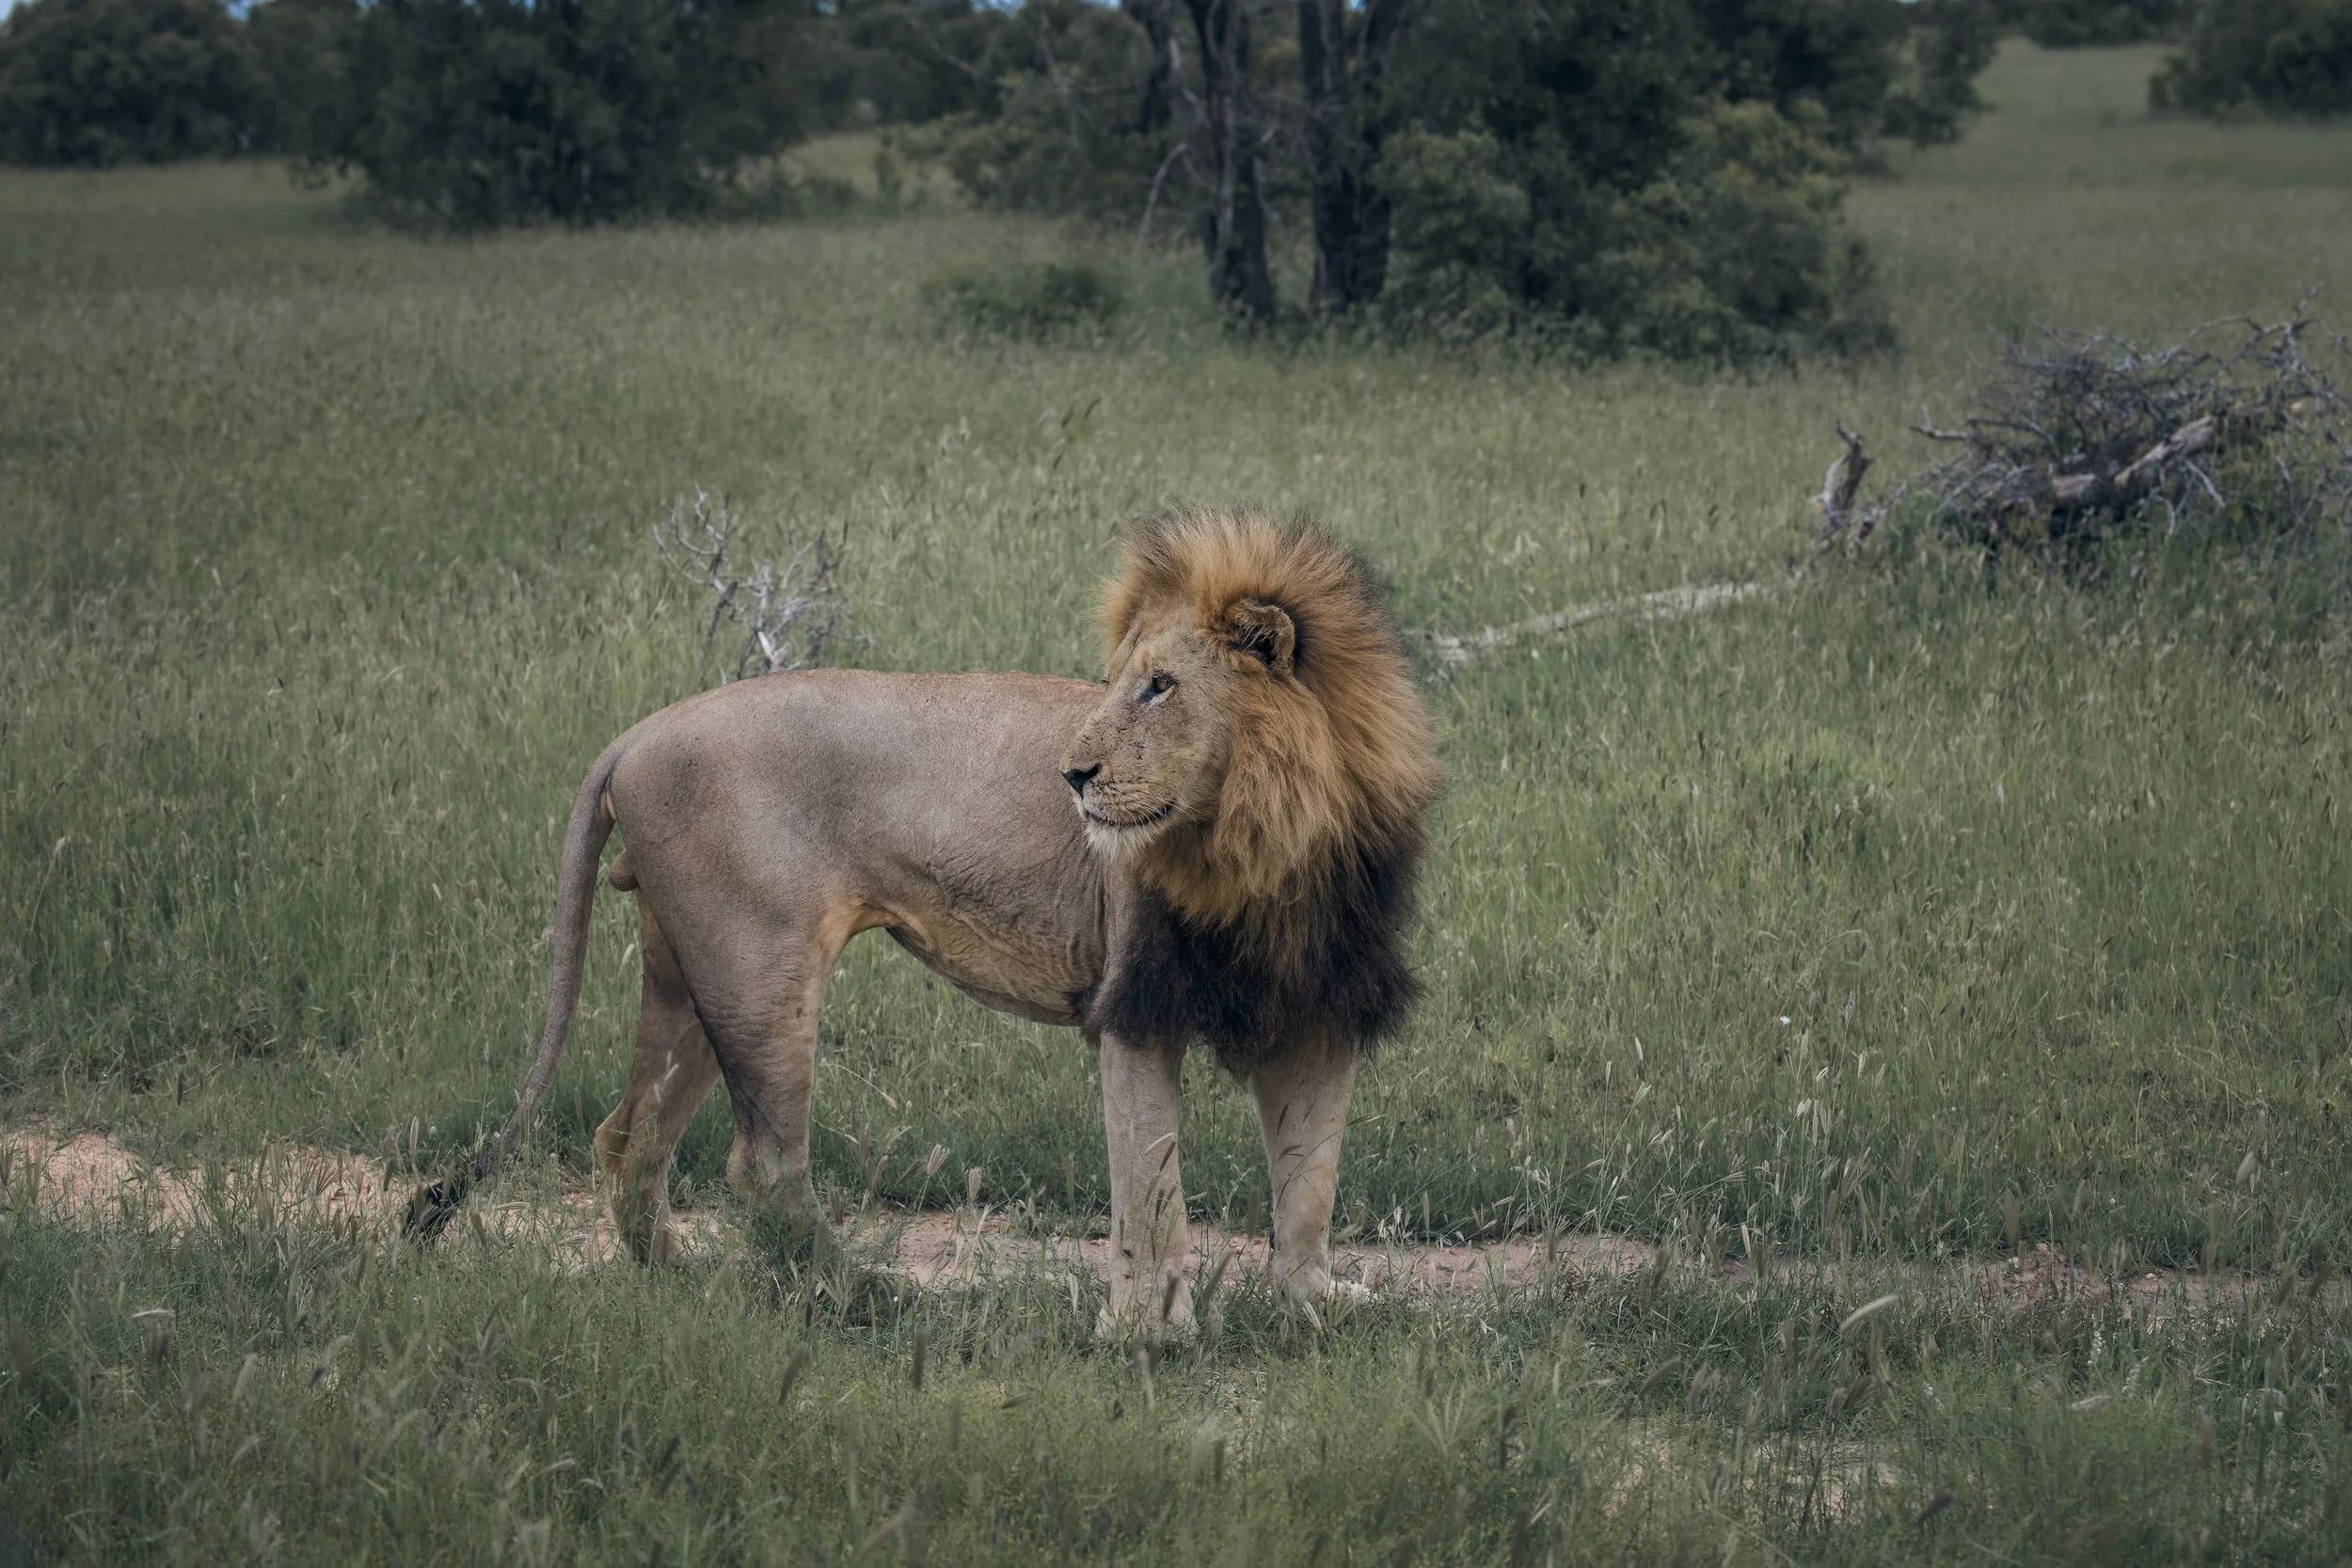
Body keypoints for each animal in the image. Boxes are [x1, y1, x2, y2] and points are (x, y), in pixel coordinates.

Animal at [408, 506, 1440, 1339]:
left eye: (1161, 685)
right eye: (1121, 681)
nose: (1072, 774)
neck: (1269, 839)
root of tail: (636, 732)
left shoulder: (1321, 1006)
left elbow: (1308, 1183)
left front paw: (1311, 1308)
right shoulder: (1136, 1002)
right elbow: (1151, 1192)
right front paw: (1147, 1333)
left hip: (686, 972)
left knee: (630, 1133)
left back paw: (673, 1276)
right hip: (758, 968)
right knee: (764, 1160)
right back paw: (856, 1293)